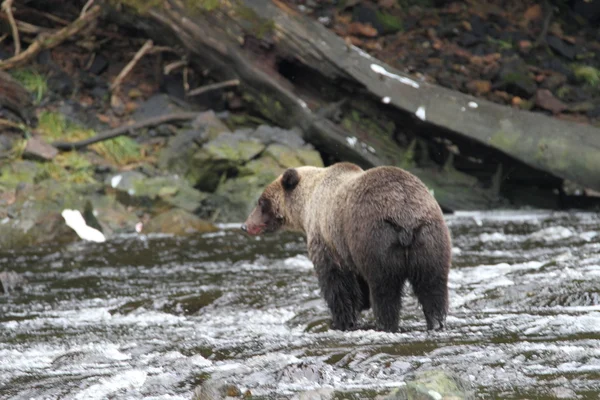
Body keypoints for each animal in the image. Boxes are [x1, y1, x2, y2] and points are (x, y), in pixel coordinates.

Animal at [240, 161, 450, 332]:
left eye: (261, 202)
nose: (245, 225)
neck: (307, 206)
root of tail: (405, 217)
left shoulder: (327, 239)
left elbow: (335, 283)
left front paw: (341, 320)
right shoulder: (348, 251)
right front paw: (358, 308)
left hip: (375, 239)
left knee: (385, 289)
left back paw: (386, 324)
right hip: (430, 241)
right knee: (432, 286)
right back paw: (436, 322)